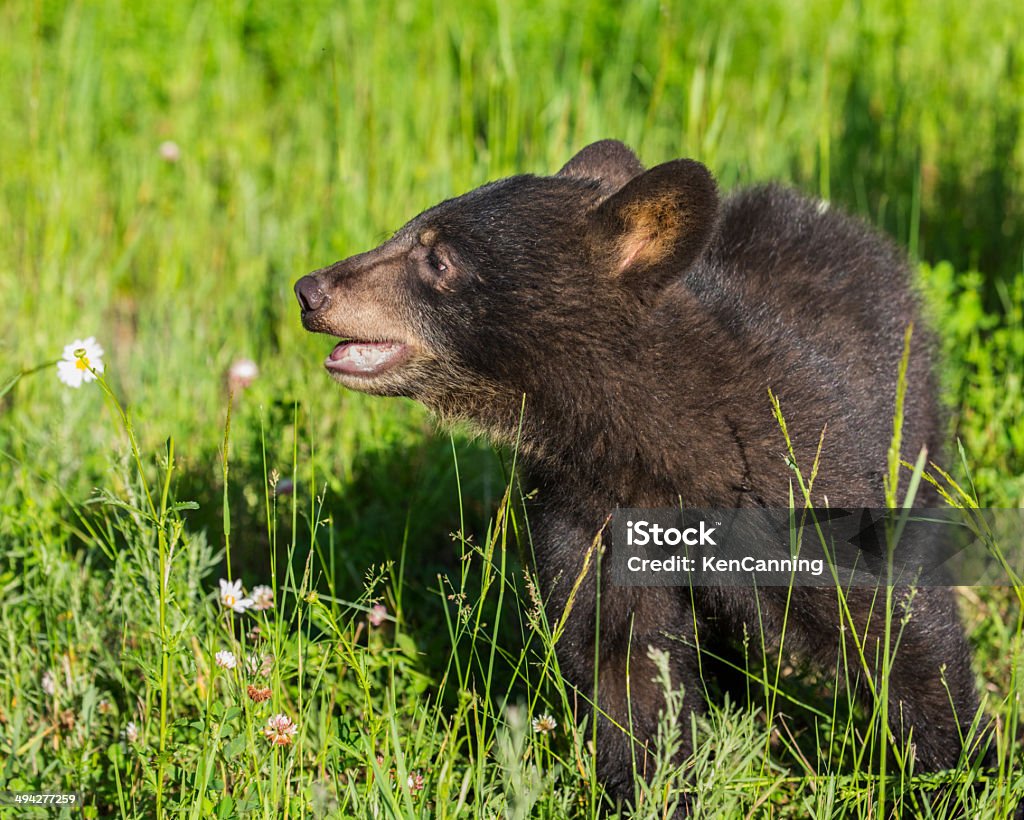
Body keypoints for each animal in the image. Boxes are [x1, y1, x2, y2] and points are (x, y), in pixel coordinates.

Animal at [294, 139, 983, 806]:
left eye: (438, 259)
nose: (310, 289)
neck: (650, 440)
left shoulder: (798, 468)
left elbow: (893, 623)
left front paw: (960, 776)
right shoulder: (589, 516)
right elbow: (625, 664)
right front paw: (654, 789)